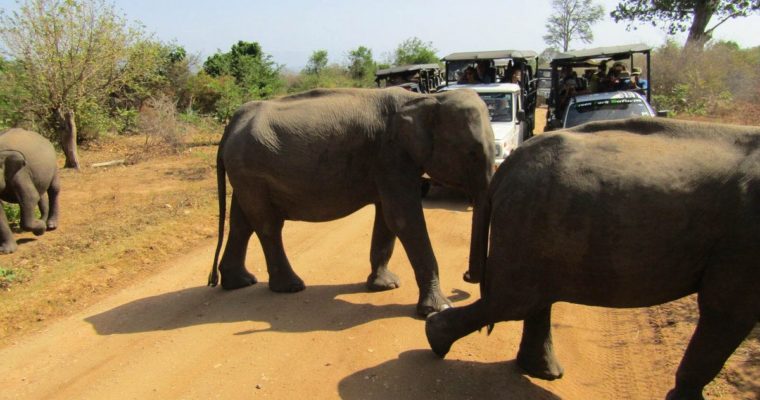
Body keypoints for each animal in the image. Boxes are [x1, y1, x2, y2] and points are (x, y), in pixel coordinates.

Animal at [208, 86, 496, 316]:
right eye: (472, 153)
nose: (466, 276)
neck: (426, 99)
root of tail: (231, 124)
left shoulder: (389, 163)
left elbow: (387, 219)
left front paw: (384, 286)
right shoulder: (391, 156)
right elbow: (403, 219)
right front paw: (438, 310)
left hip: (244, 173)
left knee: (242, 223)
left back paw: (240, 282)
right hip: (251, 171)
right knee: (267, 225)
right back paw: (291, 287)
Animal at [428, 119, 760, 400]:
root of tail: (509, 165)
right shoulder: (743, 240)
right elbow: (727, 311)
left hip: (536, 223)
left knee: (528, 299)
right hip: (529, 218)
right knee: (514, 300)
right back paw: (437, 339)